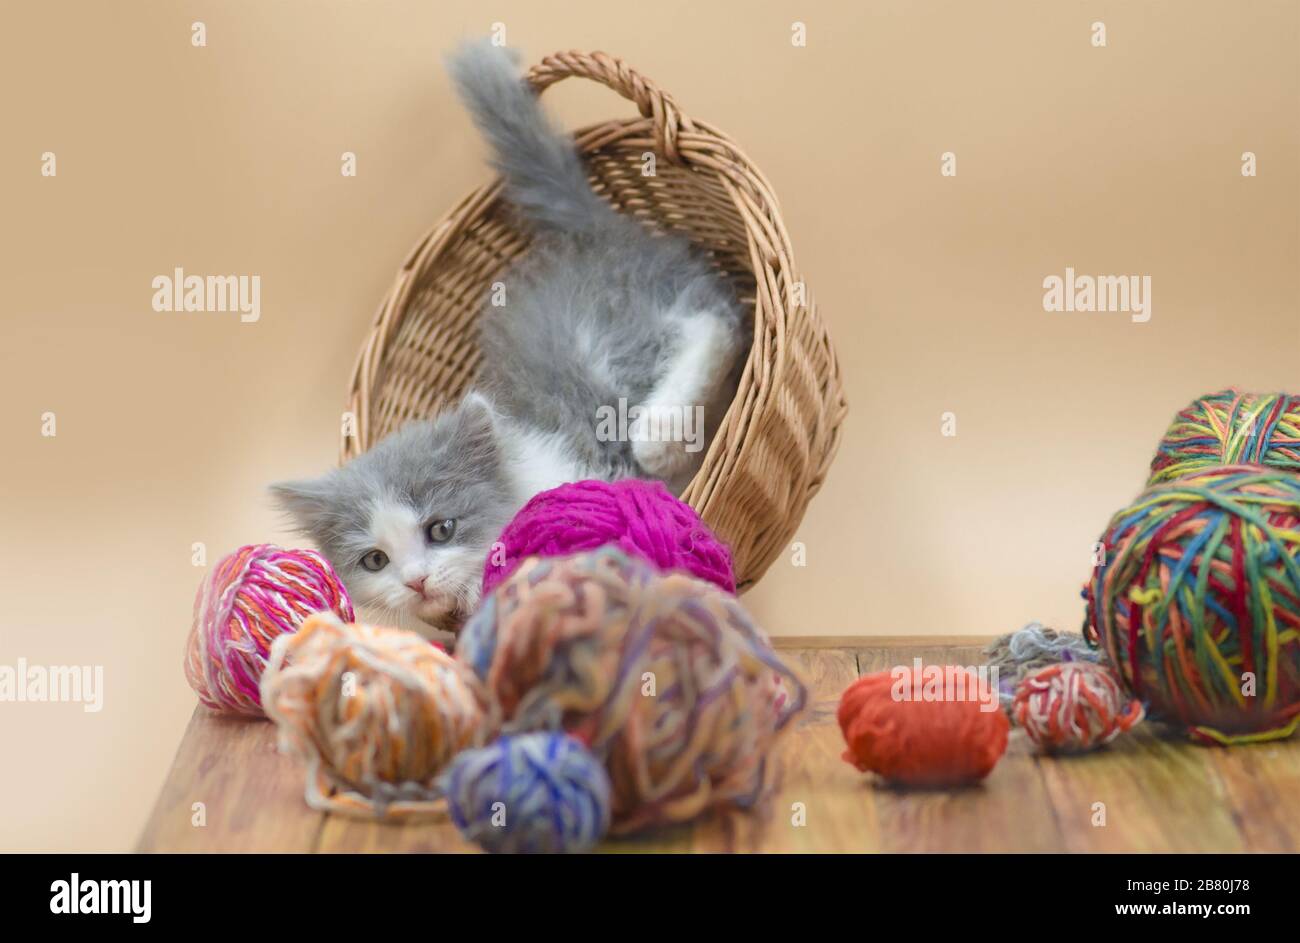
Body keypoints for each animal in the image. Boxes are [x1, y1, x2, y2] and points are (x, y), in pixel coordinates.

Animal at [269, 40, 748, 637]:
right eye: (374, 559)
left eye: (441, 529)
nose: (416, 581)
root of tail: (595, 232)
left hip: (609, 342)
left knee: (714, 322)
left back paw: (660, 432)